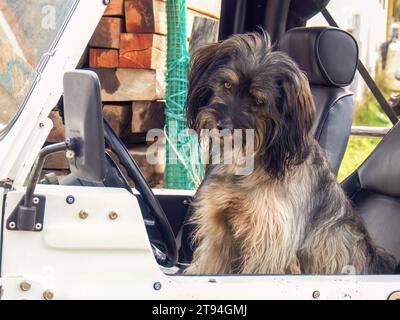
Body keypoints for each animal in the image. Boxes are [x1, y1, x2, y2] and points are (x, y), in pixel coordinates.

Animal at [184, 31, 396, 274]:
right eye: (227, 84)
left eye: (258, 100)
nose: (222, 126)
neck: (250, 158)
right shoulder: (219, 234)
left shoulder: (269, 246)